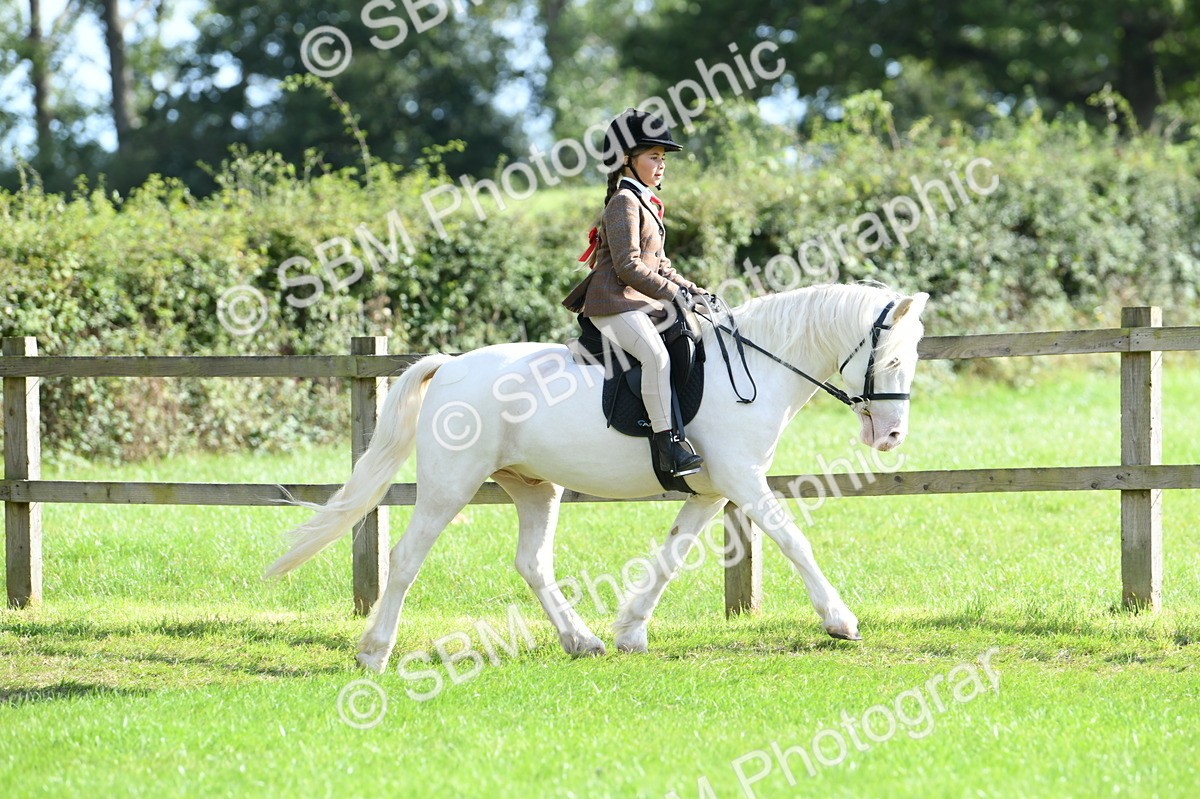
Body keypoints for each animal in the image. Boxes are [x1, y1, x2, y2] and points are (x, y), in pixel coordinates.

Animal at [264, 282, 929, 672]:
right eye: (893, 358)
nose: (892, 436)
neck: (757, 365)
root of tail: (449, 366)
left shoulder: (710, 491)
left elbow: (671, 555)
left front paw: (631, 629)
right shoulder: (743, 483)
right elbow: (793, 539)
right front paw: (840, 621)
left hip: (534, 488)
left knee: (532, 563)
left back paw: (581, 640)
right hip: (450, 486)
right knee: (405, 558)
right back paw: (374, 653)